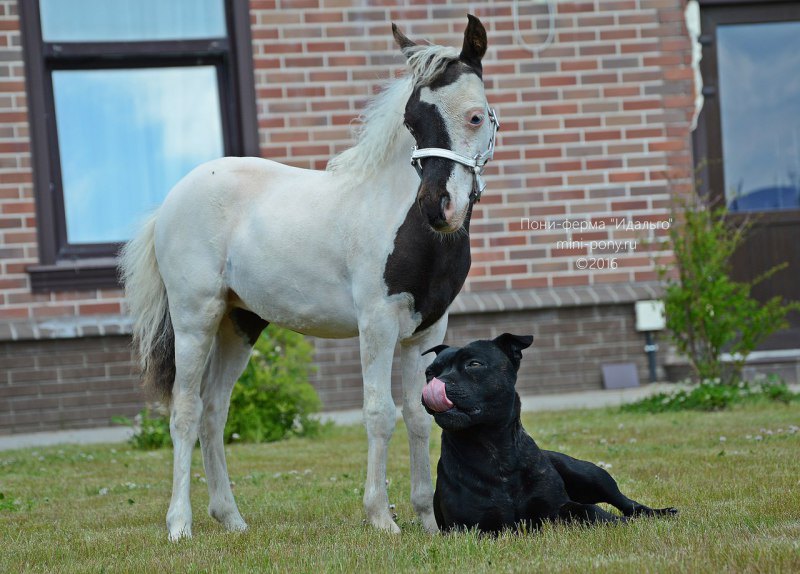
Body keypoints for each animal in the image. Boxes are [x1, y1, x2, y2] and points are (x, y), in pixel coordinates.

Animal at [120, 15, 498, 541]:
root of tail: (171, 201)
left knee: (215, 411)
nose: (438, 208)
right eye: (412, 122)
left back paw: (232, 519)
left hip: (241, 325)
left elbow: (420, 414)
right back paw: (180, 525)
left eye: (476, 117)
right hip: (195, 320)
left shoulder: (426, 331)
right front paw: (381, 518)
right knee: (185, 410)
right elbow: (379, 412)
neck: (402, 221)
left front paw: (427, 521)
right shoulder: (377, 324)